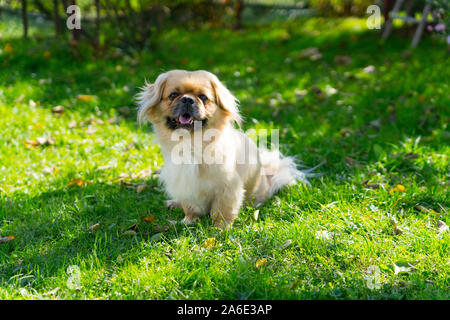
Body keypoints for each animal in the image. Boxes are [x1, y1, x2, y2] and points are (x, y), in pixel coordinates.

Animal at [135, 70, 308, 229]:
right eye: (173, 95)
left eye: (203, 97)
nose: (187, 99)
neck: (192, 143)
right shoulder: (185, 183)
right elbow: (190, 207)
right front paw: (188, 221)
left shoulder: (228, 187)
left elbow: (222, 210)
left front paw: (220, 229)